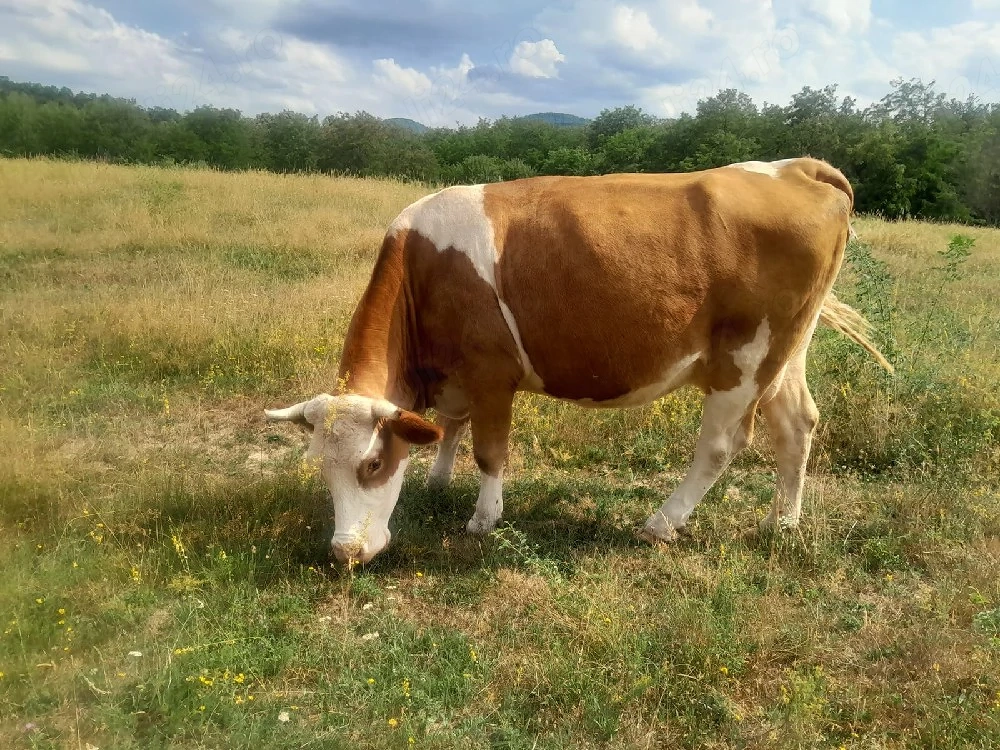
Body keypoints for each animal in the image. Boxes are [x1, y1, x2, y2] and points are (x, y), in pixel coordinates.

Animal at [265, 157, 892, 565]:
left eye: (372, 464)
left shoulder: (492, 371)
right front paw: (439, 479)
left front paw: (483, 518)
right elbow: (449, 427)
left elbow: (489, 450)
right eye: (319, 466)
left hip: (744, 360)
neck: (424, 268)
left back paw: (661, 523)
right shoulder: (457, 375)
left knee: (721, 445)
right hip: (786, 350)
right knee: (797, 425)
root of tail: (798, 166)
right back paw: (781, 523)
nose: (344, 552)